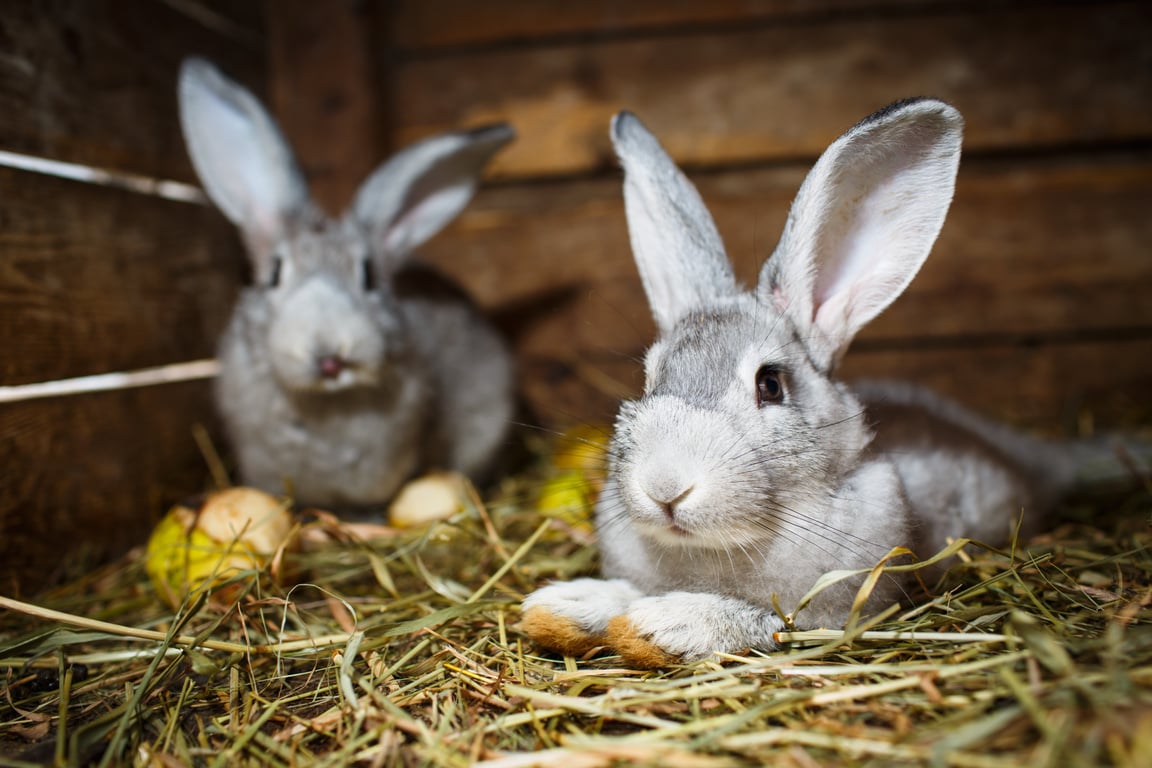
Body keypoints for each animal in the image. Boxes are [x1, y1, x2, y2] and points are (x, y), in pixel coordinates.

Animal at [525, 100, 1133, 667]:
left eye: (771, 385)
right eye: (650, 376)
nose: (665, 487)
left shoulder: (829, 613)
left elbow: (767, 621)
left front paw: (661, 626)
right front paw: (561, 608)